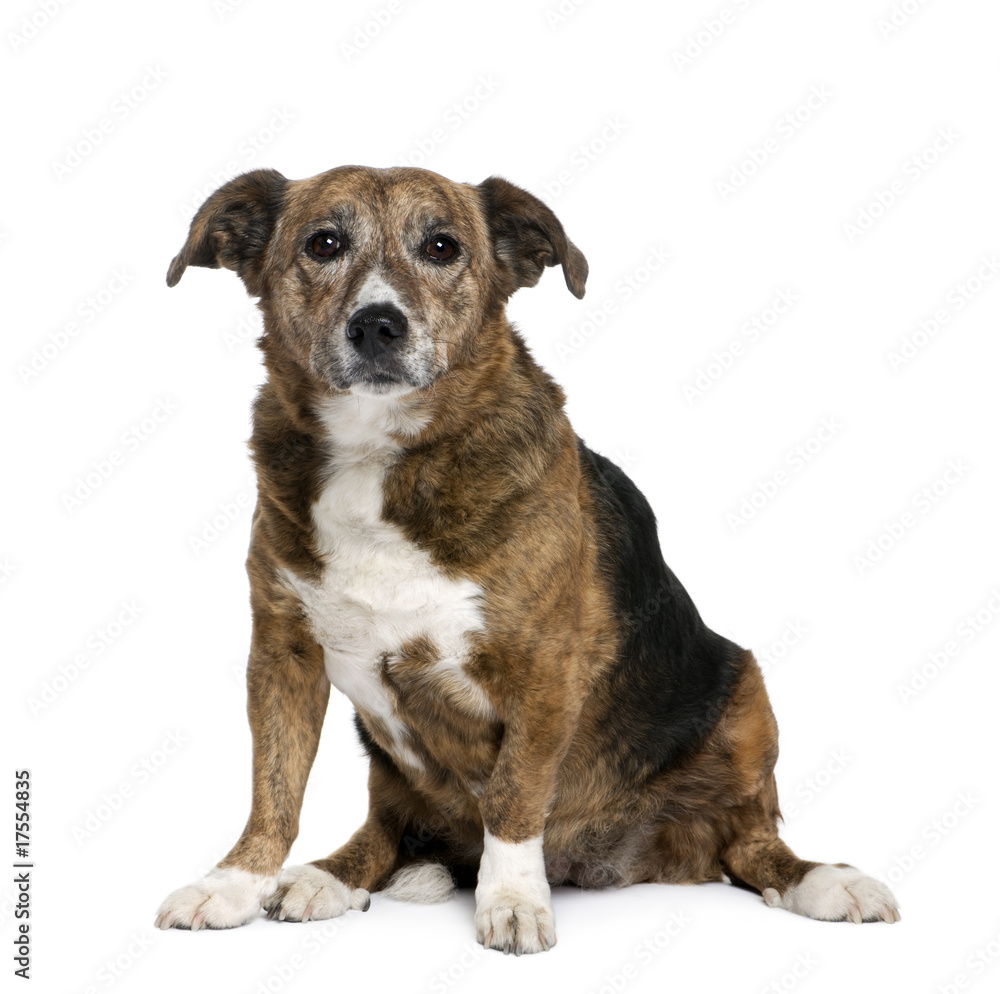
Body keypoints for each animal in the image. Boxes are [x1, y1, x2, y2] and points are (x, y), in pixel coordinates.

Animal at [154, 167, 900, 948]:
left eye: (442, 246)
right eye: (323, 243)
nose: (378, 325)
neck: (379, 453)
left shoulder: (541, 665)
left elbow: (514, 796)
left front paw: (510, 899)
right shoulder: (281, 655)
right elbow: (274, 788)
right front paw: (234, 884)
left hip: (748, 696)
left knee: (752, 843)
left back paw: (825, 881)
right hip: (388, 769)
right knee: (385, 829)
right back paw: (329, 876)